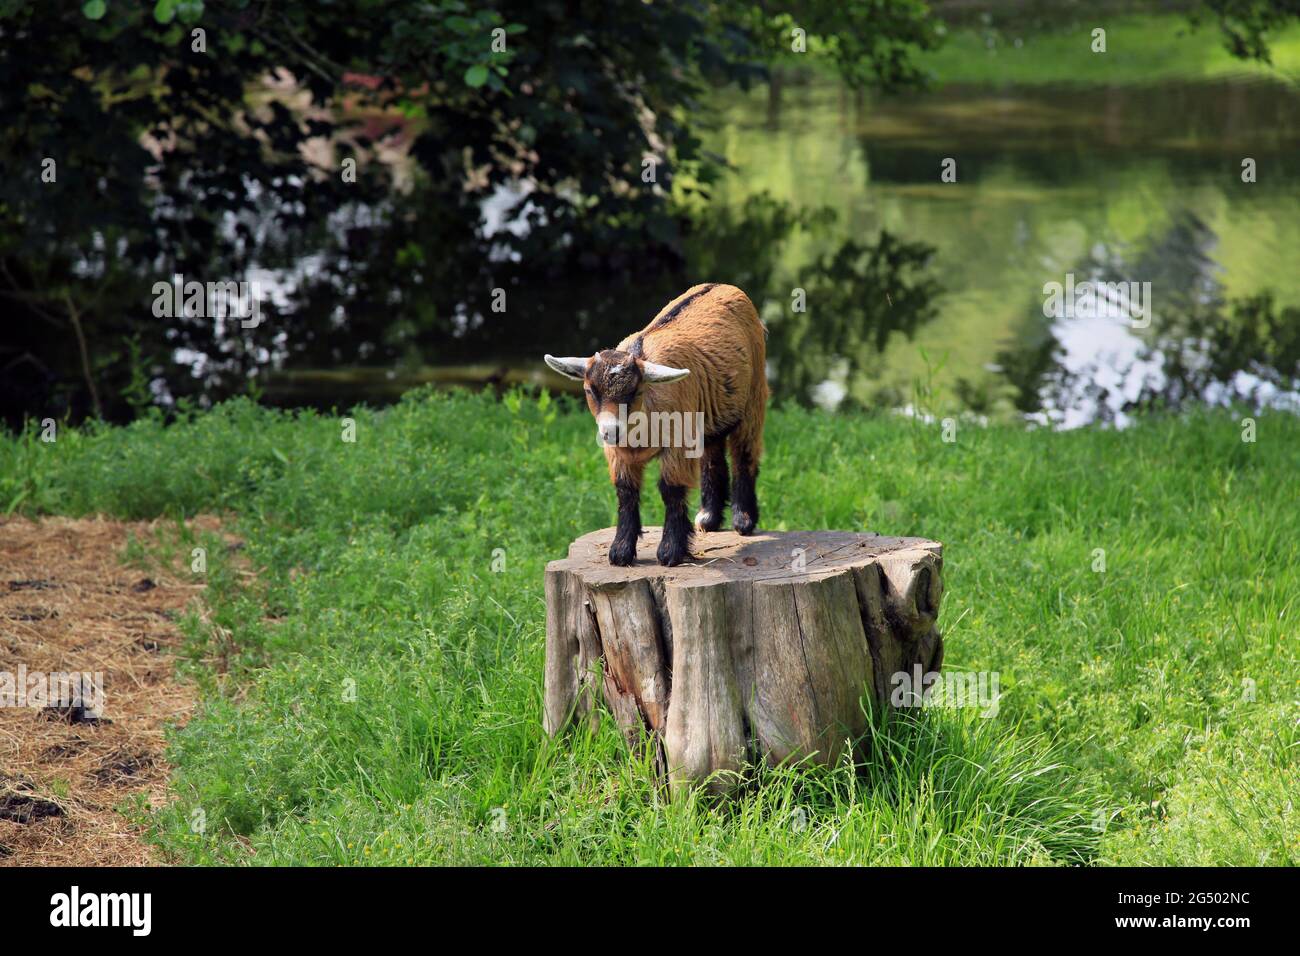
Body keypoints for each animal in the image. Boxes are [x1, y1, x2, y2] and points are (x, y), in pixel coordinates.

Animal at [544, 283, 767, 566]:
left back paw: (743, 520)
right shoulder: (619, 453)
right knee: (712, 455)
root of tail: (723, 285)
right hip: (709, 413)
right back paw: (709, 518)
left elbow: (670, 489)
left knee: (744, 453)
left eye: (635, 391)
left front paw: (671, 552)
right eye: (589, 390)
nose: (610, 431)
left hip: (754, 397)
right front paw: (620, 552)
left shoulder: (677, 443)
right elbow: (625, 491)